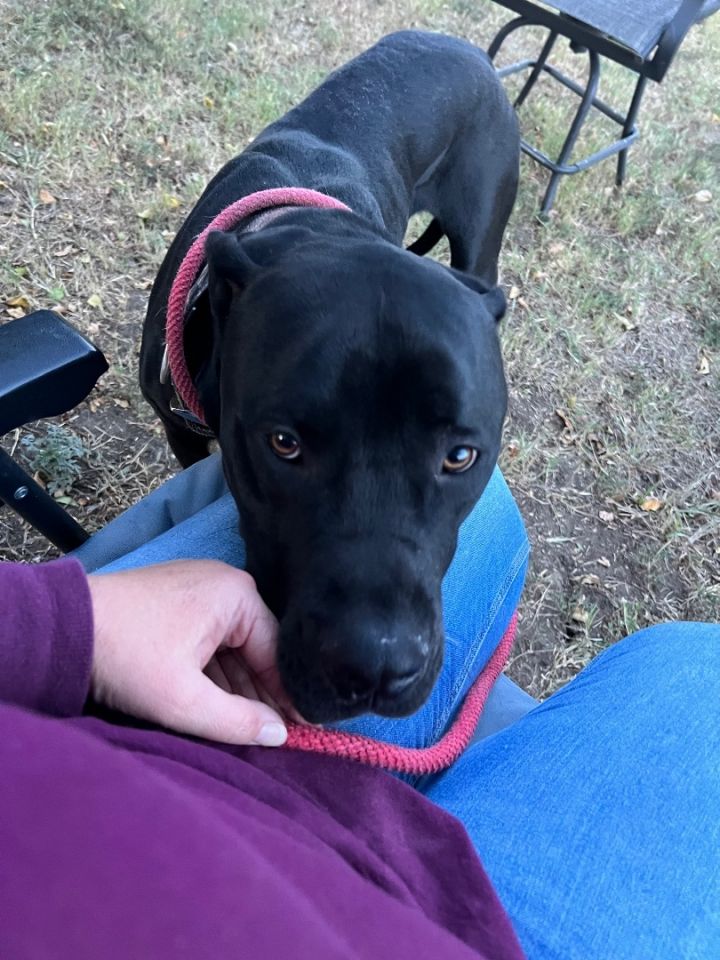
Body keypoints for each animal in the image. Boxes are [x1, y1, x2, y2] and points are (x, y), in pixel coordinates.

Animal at [139, 28, 516, 720]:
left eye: (460, 457)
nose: (377, 667)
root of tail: (467, 47)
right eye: (283, 444)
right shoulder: (178, 427)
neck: (304, 225)